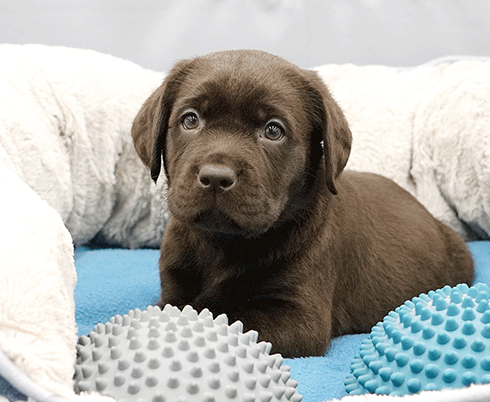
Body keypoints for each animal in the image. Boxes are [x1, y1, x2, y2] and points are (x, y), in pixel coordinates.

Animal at [131, 50, 474, 358]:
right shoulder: (174, 286)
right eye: (190, 120)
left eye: (273, 130)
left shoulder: (299, 317)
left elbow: (227, 316)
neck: (222, 244)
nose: (215, 177)